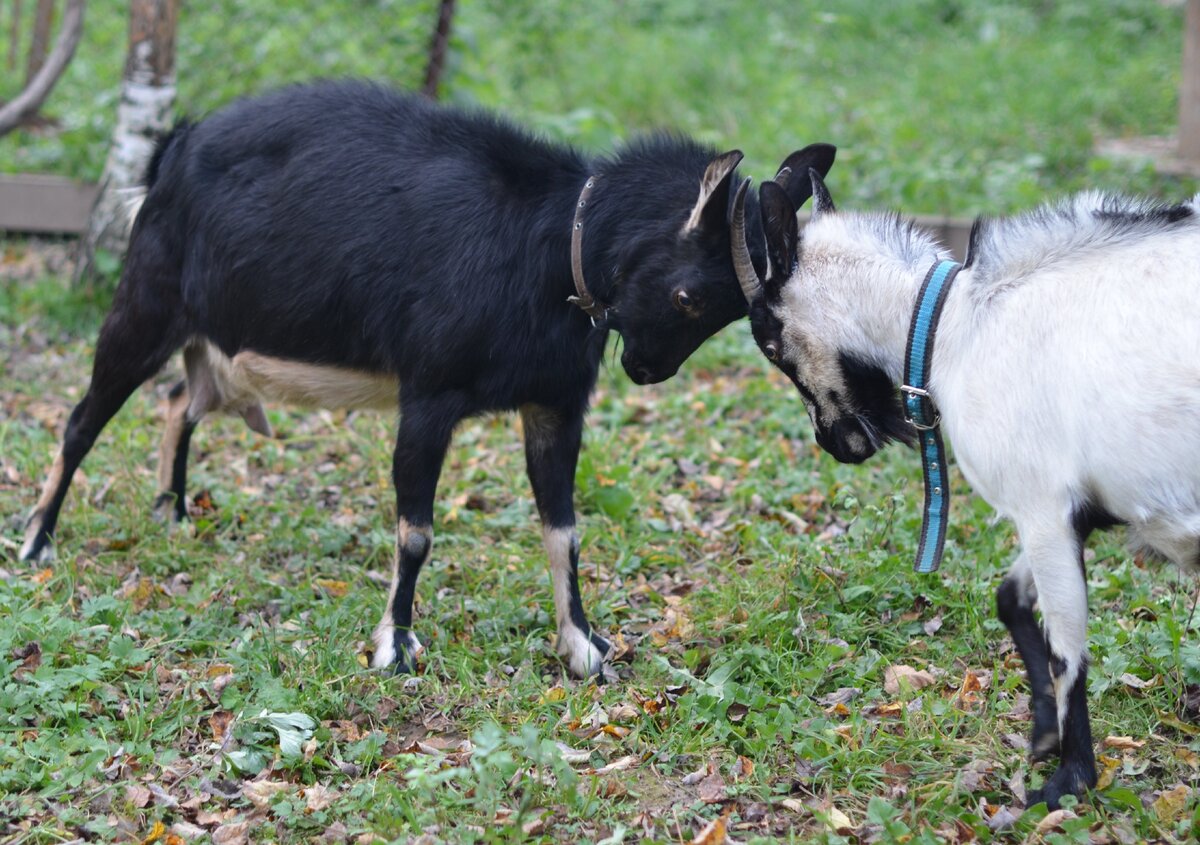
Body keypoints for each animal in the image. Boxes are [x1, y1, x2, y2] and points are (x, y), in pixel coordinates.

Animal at [18, 82, 830, 676]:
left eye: (735, 313)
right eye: (690, 295)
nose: (647, 369)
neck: (542, 249)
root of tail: (174, 148)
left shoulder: (554, 403)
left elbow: (563, 529)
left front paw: (583, 646)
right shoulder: (429, 396)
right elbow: (416, 531)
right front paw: (396, 644)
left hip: (207, 337)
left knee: (180, 398)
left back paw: (173, 509)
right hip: (147, 302)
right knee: (84, 416)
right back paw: (36, 544)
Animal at [729, 170, 1200, 806]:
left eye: (772, 344)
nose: (836, 443)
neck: (959, 326)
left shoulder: (1042, 508)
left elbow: (1067, 650)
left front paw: (1066, 783)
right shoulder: (1073, 513)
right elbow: (1009, 600)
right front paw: (1042, 734)